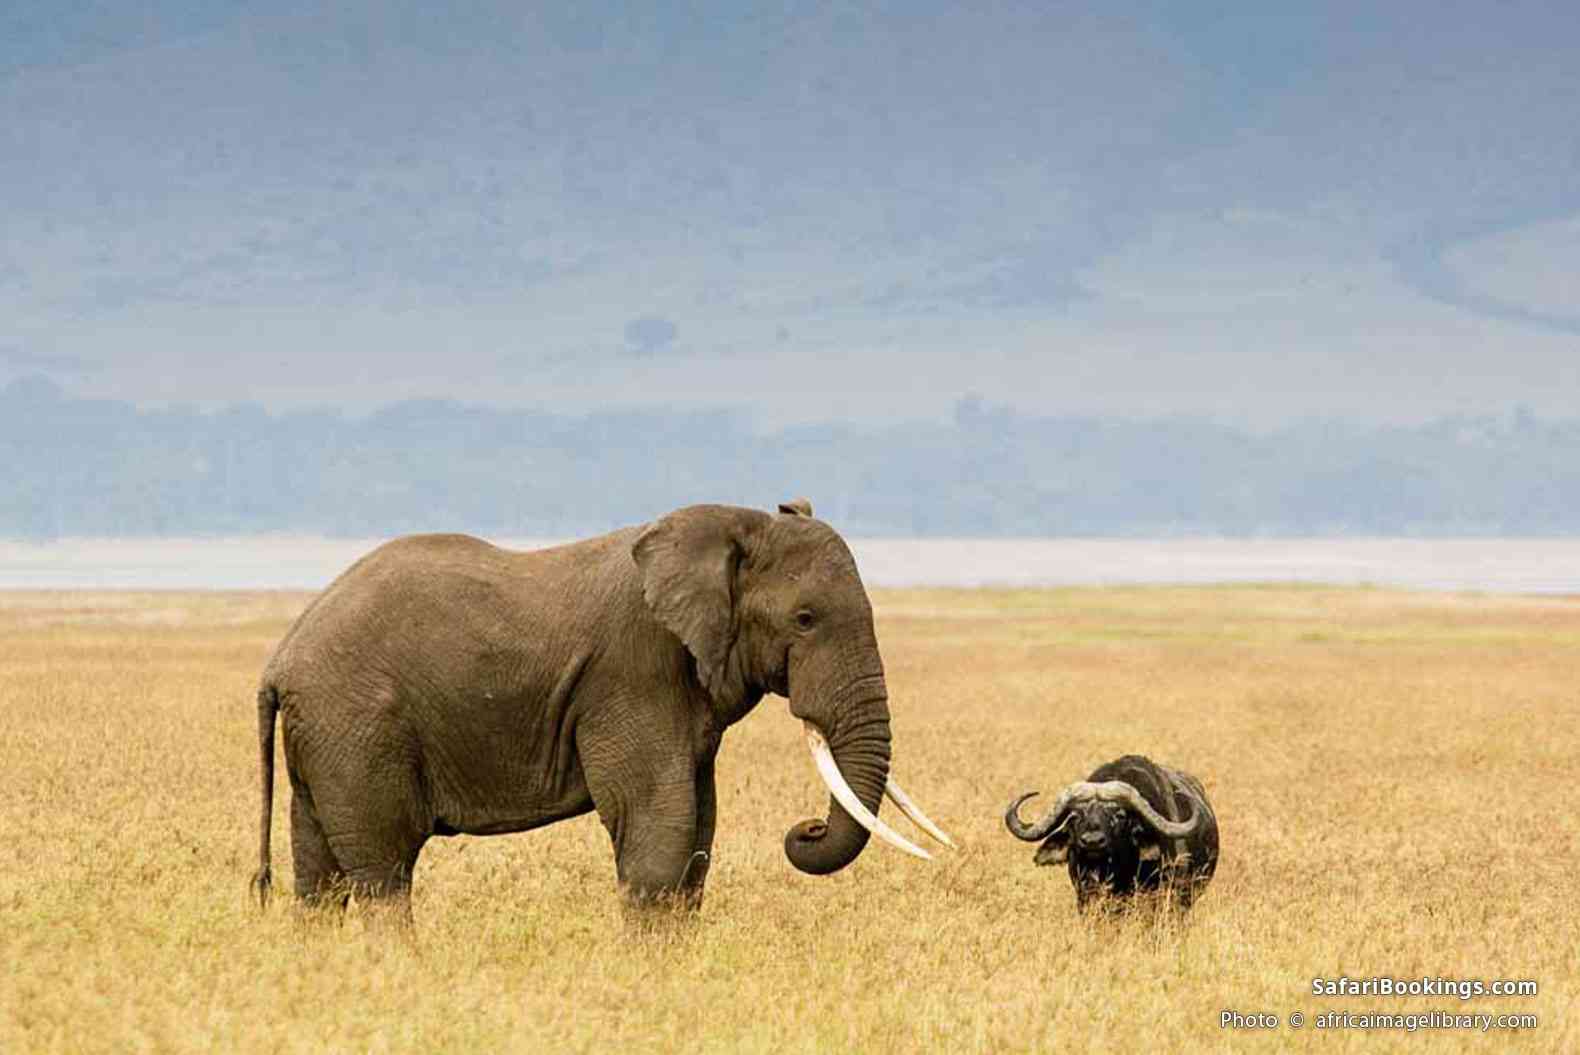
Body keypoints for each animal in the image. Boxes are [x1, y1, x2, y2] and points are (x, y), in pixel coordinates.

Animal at [249, 498, 952, 915]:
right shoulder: (633, 672)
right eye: (805, 620)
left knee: (319, 874)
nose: (804, 830)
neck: (732, 520)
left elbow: (698, 832)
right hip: (359, 727)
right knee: (382, 871)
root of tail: (280, 659)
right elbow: (660, 825)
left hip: (328, 736)